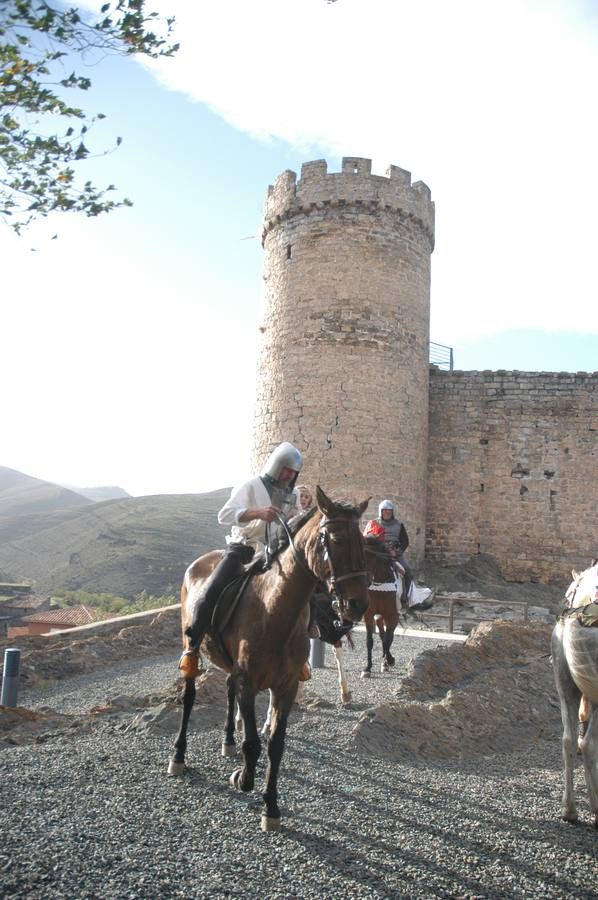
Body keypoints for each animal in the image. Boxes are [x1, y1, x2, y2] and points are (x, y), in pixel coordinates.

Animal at [169, 488, 370, 832]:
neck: (273, 610)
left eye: (361, 540)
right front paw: (243, 778)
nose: (357, 605)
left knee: (227, 688)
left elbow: (276, 744)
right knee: (190, 694)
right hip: (192, 644)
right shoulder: (249, 682)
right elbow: (253, 742)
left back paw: (228, 740)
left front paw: (271, 806)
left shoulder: (285, 686)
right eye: (333, 539)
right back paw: (179, 756)